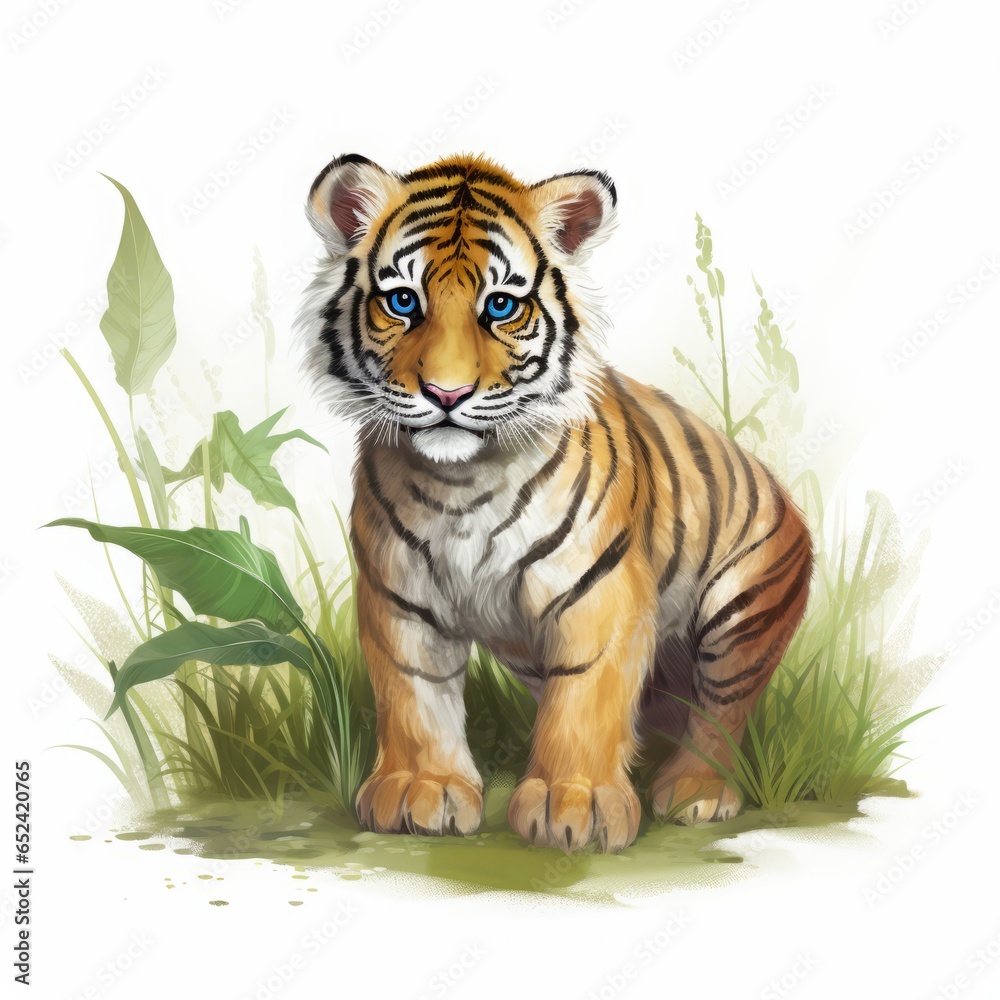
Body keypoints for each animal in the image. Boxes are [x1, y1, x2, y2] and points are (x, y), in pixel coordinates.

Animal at [297, 152, 812, 853]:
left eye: (500, 306)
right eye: (403, 301)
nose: (447, 394)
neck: (462, 484)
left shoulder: (600, 590)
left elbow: (586, 698)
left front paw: (577, 804)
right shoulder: (400, 594)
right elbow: (414, 694)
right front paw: (421, 790)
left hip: (743, 611)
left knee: (722, 708)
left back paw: (694, 791)